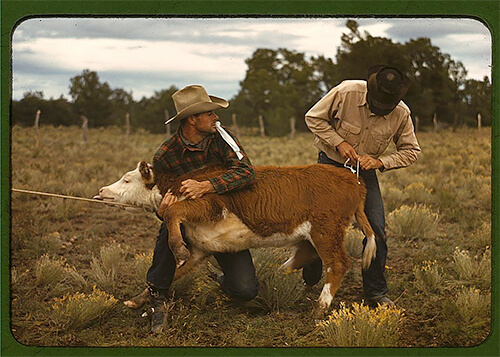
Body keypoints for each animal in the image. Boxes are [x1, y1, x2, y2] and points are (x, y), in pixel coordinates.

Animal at [95, 161, 376, 312]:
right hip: (313, 234)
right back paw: (271, 279)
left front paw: (177, 249)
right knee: (303, 257)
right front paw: (139, 299)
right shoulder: (202, 248)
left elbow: (172, 212)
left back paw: (321, 306)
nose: (102, 190)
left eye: (127, 179)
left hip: (326, 230)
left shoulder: (208, 204)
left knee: (338, 263)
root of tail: (352, 180)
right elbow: (175, 272)